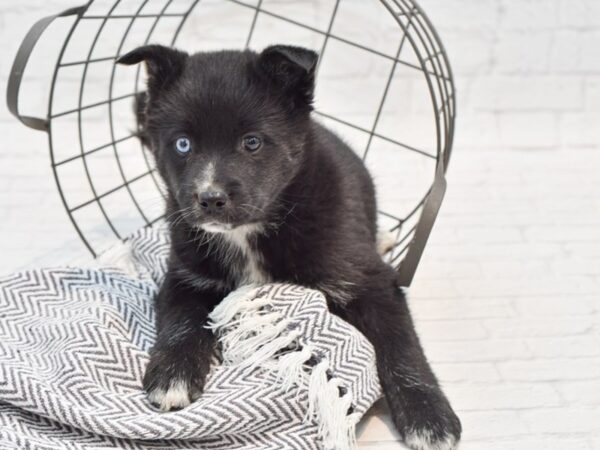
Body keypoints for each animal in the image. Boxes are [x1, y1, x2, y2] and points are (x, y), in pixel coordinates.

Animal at [118, 43, 464, 450]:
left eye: (252, 142)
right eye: (183, 144)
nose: (210, 199)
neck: (251, 232)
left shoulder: (372, 280)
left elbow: (401, 344)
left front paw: (429, 415)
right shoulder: (185, 275)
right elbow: (180, 319)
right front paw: (173, 373)